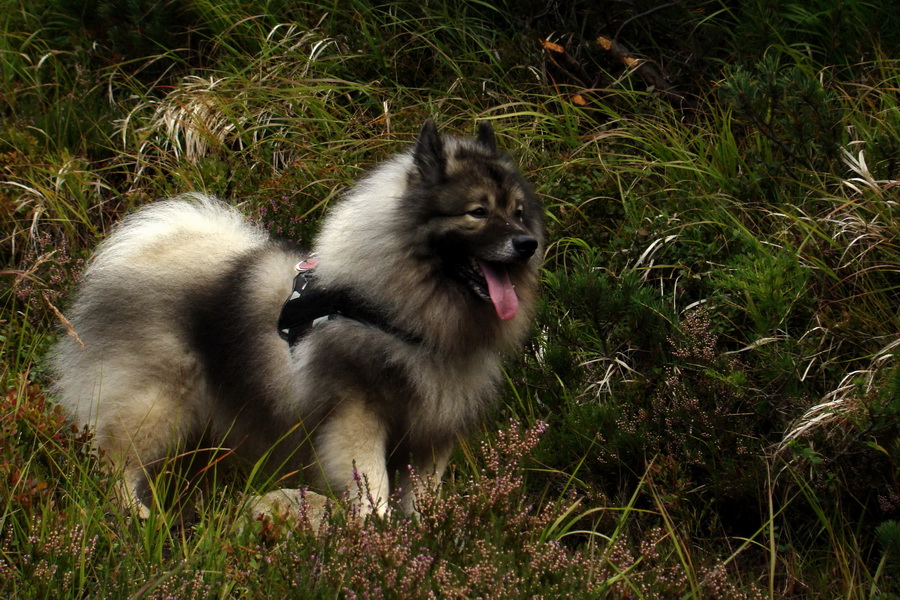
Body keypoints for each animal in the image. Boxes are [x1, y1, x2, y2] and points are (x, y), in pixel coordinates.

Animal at [52, 119, 544, 516]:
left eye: (518, 213)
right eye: (478, 212)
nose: (527, 244)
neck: (400, 316)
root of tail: (143, 256)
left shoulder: (430, 432)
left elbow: (420, 499)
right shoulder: (355, 417)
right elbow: (373, 489)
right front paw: (376, 535)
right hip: (157, 405)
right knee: (118, 463)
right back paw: (136, 516)